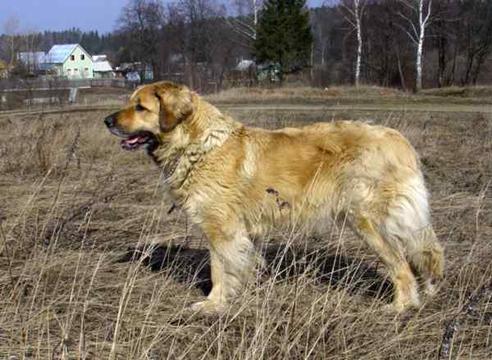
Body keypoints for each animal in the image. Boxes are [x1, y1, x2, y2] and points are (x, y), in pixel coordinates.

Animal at [103, 81, 442, 312]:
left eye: (140, 108)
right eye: (130, 103)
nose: (107, 121)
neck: (196, 143)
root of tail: (399, 140)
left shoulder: (221, 229)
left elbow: (219, 269)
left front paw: (214, 304)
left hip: (368, 221)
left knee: (401, 265)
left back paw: (401, 307)